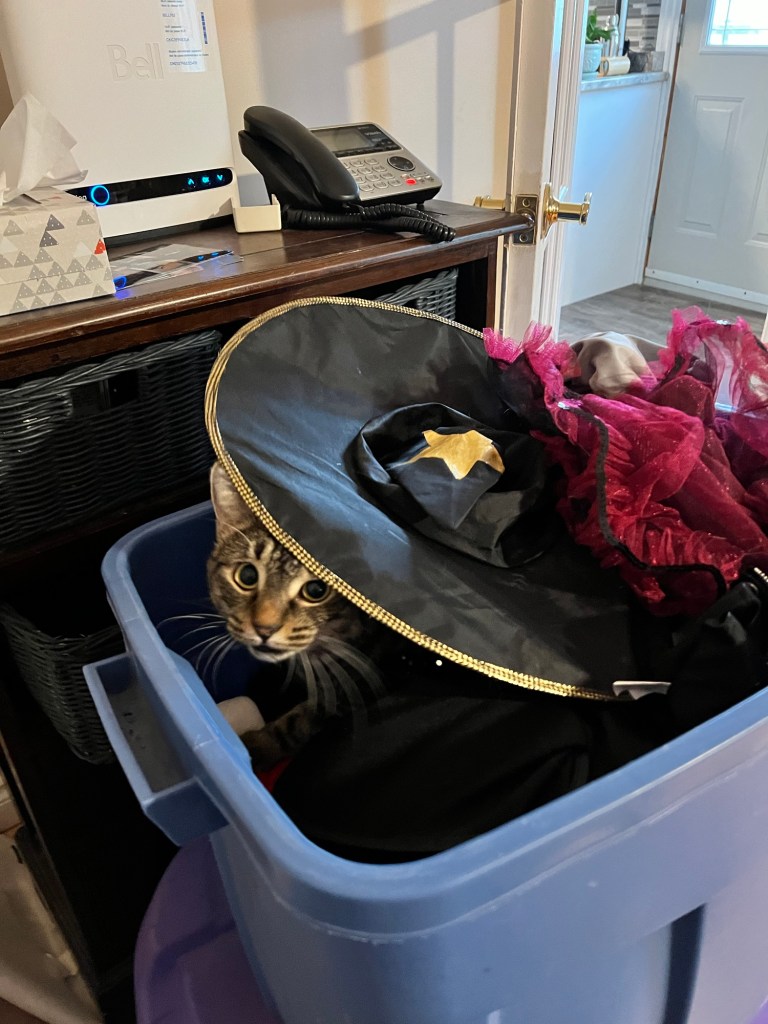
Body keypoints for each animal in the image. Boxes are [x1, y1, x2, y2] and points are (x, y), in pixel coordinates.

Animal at [206, 461, 392, 770]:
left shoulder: (351, 684)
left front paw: (256, 746)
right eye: (247, 576)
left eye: (317, 590)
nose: (264, 628)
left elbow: (296, 724)